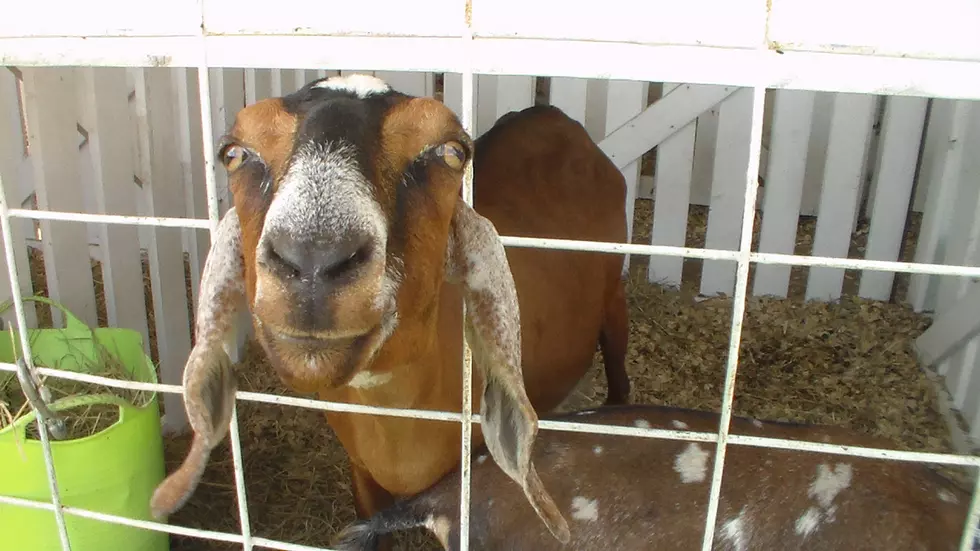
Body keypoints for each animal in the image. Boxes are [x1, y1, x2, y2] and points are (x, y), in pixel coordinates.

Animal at [149, 72, 632, 544]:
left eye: (451, 152)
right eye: (234, 154)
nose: (313, 260)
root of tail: (550, 114)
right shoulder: (361, 477)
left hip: (614, 292)